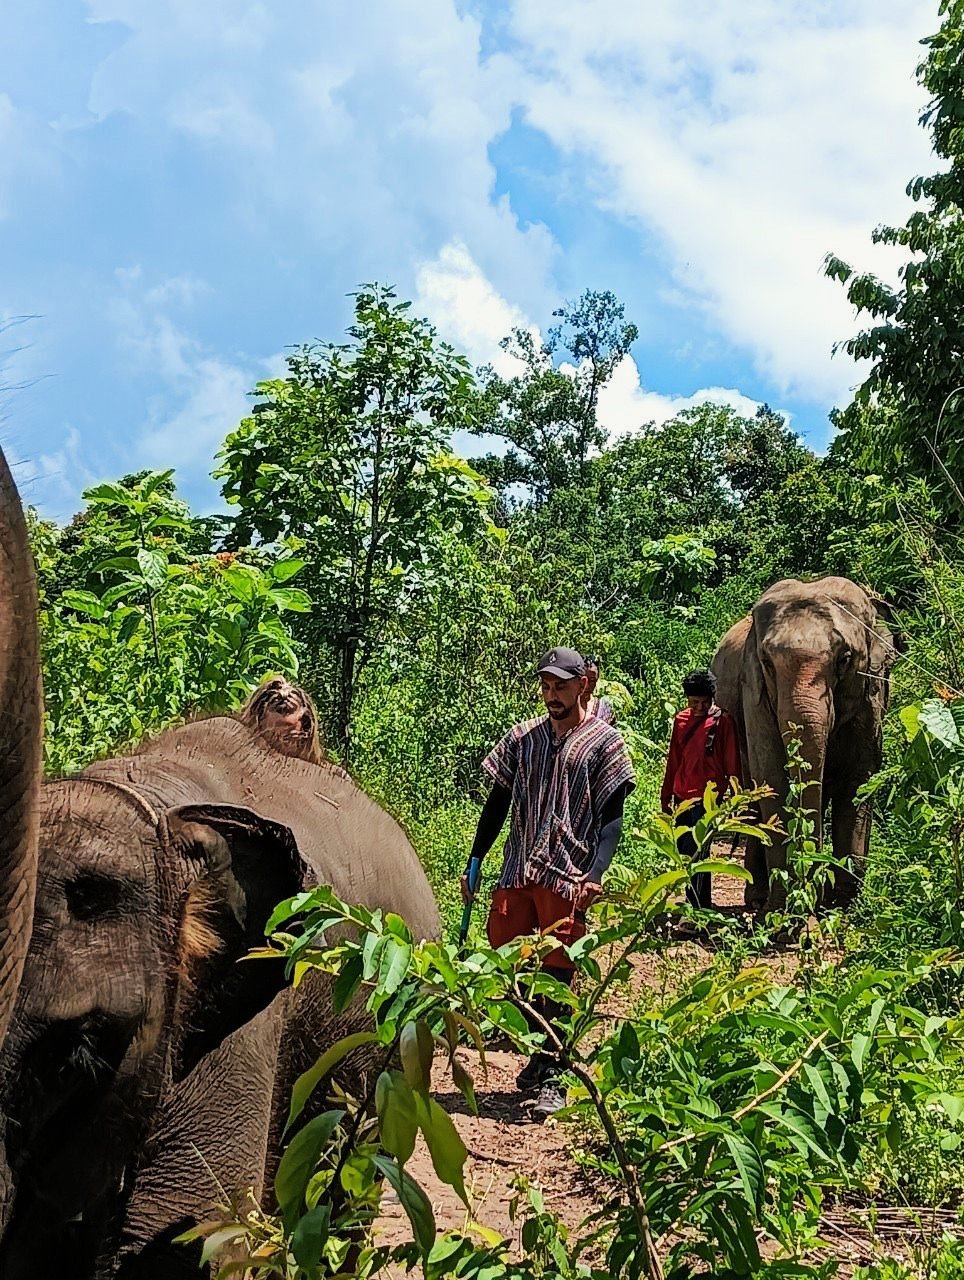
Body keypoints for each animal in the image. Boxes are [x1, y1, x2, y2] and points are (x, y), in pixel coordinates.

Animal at [706, 576, 896, 916]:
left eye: (845, 658)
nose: (815, 899)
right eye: (767, 662)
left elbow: (859, 781)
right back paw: (757, 899)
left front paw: (843, 907)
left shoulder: (871, 697)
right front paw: (784, 909)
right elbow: (772, 777)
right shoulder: (753, 690)